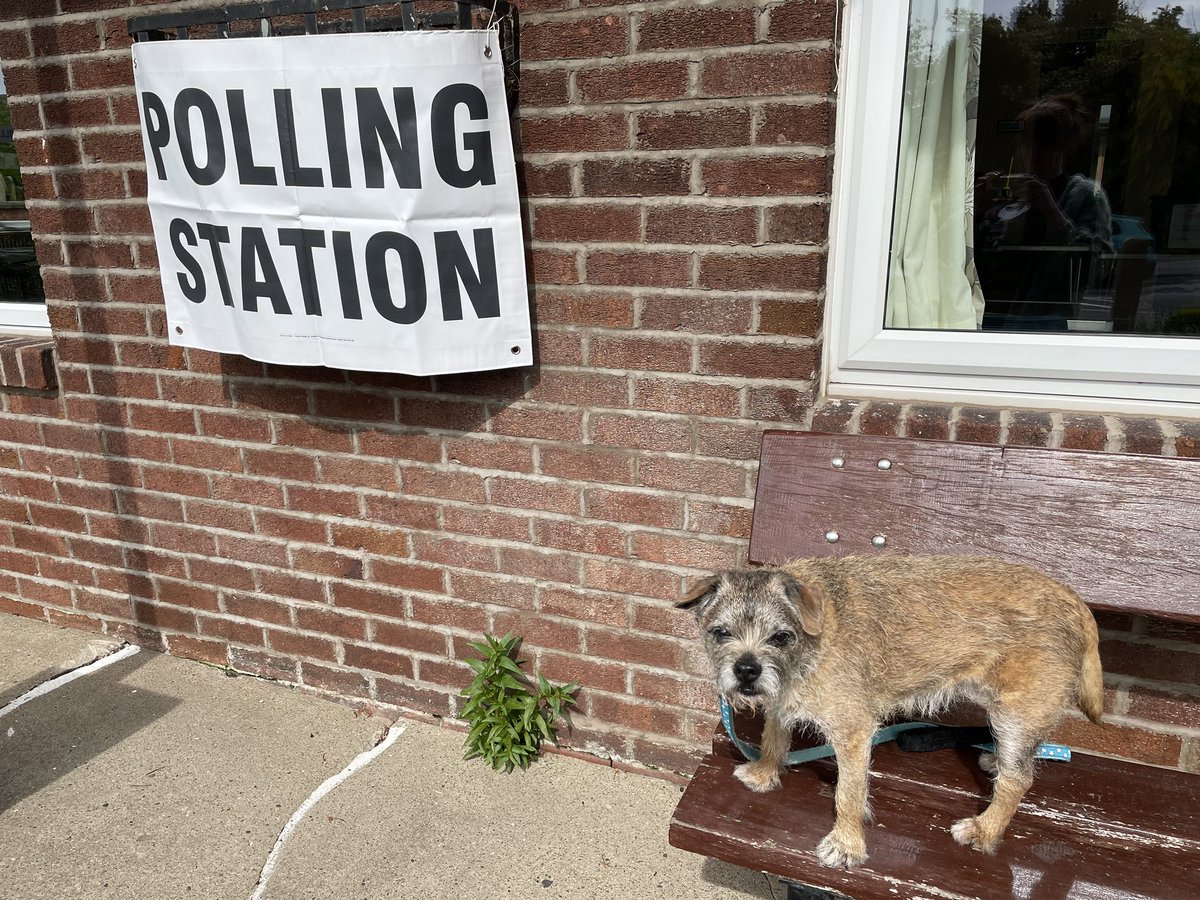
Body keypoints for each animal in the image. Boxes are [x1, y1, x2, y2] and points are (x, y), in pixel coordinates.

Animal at [681, 556, 1099, 873]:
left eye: (780, 637)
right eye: (721, 632)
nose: (746, 670)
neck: (812, 641)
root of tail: (1076, 601)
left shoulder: (853, 732)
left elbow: (848, 793)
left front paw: (846, 843)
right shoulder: (782, 701)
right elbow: (774, 734)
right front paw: (765, 771)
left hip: (1015, 712)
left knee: (1019, 778)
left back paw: (984, 829)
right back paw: (996, 760)